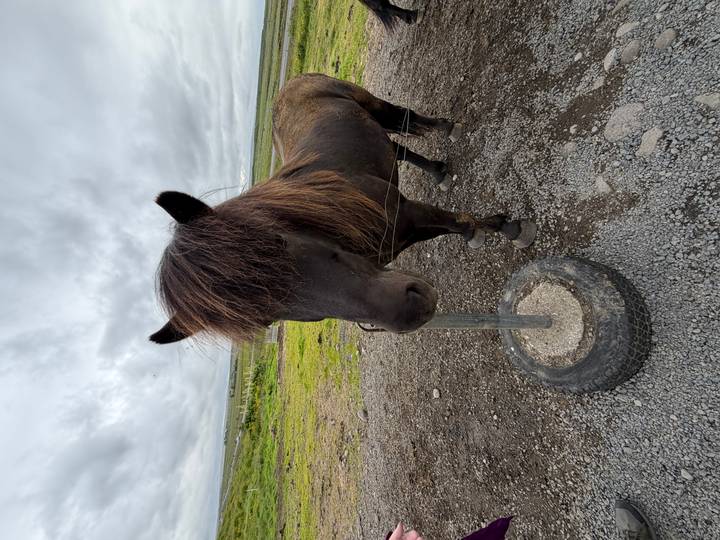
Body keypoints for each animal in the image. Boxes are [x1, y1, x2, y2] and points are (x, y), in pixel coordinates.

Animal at [150, 74, 536, 344]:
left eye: (279, 243)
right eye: (266, 319)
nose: (411, 311)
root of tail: (290, 85)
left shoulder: (409, 214)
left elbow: (457, 223)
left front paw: (508, 229)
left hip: (372, 104)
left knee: (404, 117)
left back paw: (447, 129)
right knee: (398, 149)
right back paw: (437, 171)